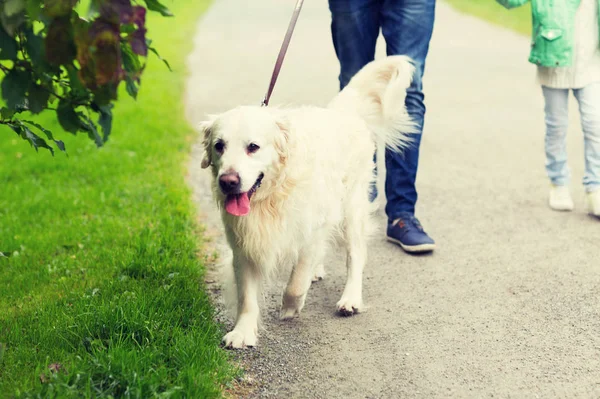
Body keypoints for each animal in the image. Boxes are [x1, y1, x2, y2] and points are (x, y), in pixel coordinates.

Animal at [199, 54, 414, 348]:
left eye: (253, 147)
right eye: (219, 145)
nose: (228, 181)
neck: (272, 196)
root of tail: (342, 112)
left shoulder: (313, 230)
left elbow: (296, 282)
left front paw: (290, 307)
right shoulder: (244, 241)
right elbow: (247, 296)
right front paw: (243, 332)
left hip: (351, 209)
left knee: (356, 255)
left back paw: (350, 298)